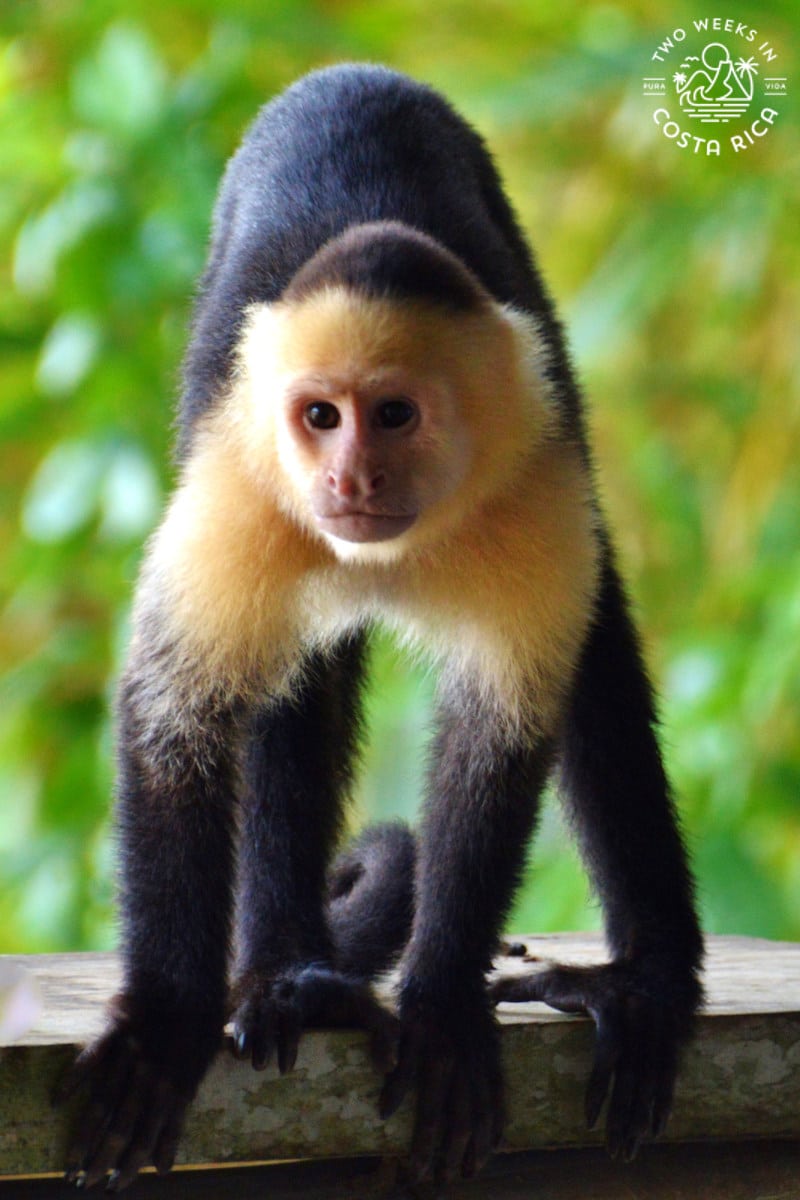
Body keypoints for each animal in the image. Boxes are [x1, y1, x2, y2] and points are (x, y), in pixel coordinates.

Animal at [59, 63, 703, 1190]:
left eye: (394, 415)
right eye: (322, 415)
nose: (350, 478)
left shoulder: (532, 475)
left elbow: (502, 725)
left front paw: (441, 1009)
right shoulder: (242, 489)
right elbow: (175, 716)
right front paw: (167, 1021)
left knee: (597, 648)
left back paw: (644, 981)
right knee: (290, 686)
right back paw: (289, 972)